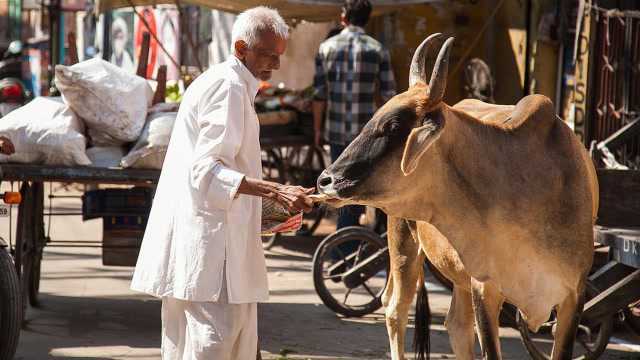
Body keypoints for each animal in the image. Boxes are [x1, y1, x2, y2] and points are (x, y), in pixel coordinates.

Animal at [318, 33, 596, 360]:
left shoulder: (573, 297)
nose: (326, 181)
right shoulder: (485, 289)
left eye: (394, 125)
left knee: (456, 326)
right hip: (402, 243)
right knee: (395, 308)